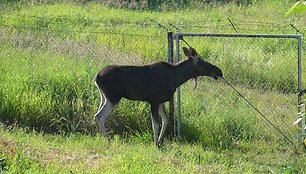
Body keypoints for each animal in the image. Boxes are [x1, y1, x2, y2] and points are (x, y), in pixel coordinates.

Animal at [94, 47, 222, 147]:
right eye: (204, 62)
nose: (219, 71)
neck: (175, 80)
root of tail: (96, 77)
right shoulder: (154, 101)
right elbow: (155, 123)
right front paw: (155, 143)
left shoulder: (161, 101)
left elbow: (165, 119)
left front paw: (160, 141)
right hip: (113, 97)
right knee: (99, 115)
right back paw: (107, 139)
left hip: (103, 97)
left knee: (97, 115)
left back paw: (100, 136)